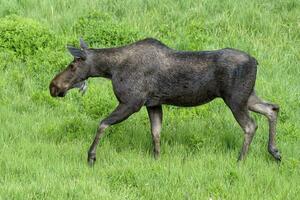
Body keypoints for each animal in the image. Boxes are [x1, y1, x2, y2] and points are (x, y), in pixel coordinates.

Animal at [49, 38, 282, 166]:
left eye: (72, 65)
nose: (53, 86)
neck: (110, 70)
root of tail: (256, 61)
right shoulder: (153, 104)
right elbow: (156, 133)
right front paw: (157, 160)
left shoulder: (131, 103)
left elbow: (102, 124)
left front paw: (91, 157)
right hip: (247, 96)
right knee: (272, 108)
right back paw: (275, 152)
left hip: (235, 99)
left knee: (251, 125)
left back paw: (241, 160)